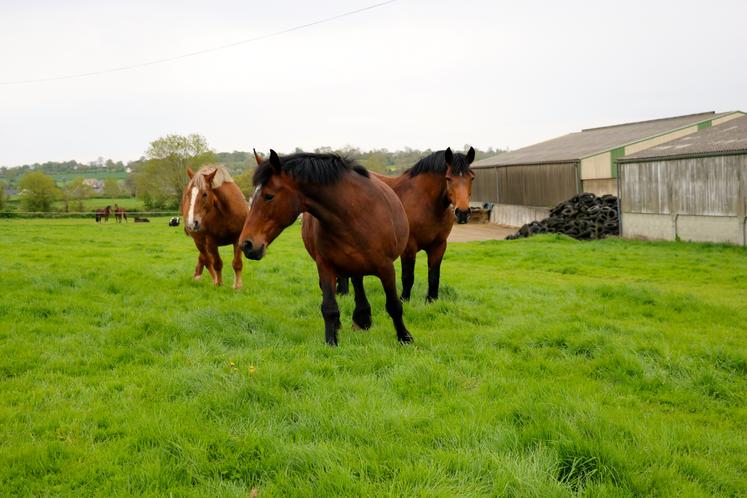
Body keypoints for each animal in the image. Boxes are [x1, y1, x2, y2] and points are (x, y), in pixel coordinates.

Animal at [241, 149, 412, 346]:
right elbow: (329, 307)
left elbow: (394, 305)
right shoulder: (326, 266)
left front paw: (405, 338)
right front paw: (331, 341)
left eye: (269, 196)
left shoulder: (386, 267)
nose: (246, 244)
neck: (355, 213)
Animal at [338, 148, 474, 302]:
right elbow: (408, 276)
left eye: (471, 178)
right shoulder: (409, 246)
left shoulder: (439, 245)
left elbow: (434, 277)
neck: (424, 201)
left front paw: (431, 300)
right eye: (448, 178)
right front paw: (404, 300)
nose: (463, 212)